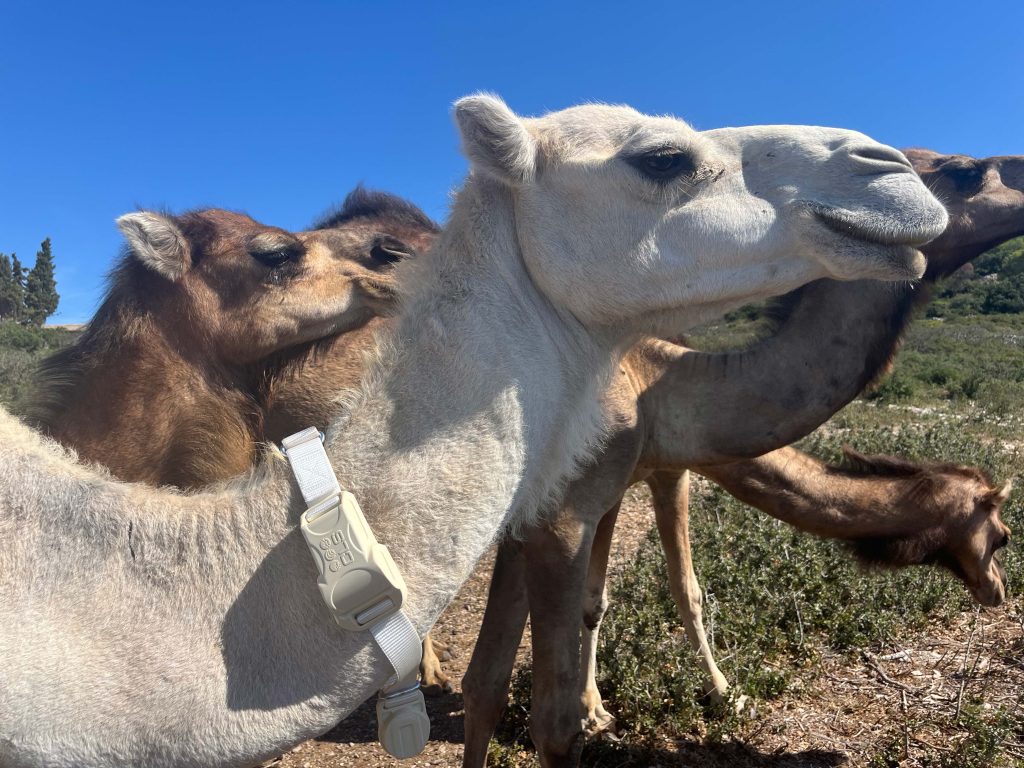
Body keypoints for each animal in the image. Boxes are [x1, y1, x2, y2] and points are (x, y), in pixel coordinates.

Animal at [460, 150, 1024, 767]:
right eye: (967, 171)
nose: (999, 590)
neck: (659, 385)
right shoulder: (581, 506)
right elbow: (563, 707)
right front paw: (722, 696)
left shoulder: (591, 493)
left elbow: (502, 668)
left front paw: (605, 711)